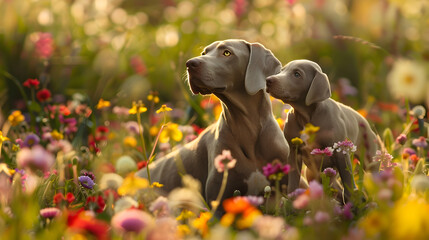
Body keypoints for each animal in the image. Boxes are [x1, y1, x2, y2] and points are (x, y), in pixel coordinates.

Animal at [266, 59, 376, 201]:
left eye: (297, 74)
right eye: (281, 71)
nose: (268, 80)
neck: (306, 117)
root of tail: (364, 120)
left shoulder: (340, 152)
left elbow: (348, 183)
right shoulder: (294, 151)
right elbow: (293, 182)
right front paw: (292, 200)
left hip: (369, 160)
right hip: (317, 173)